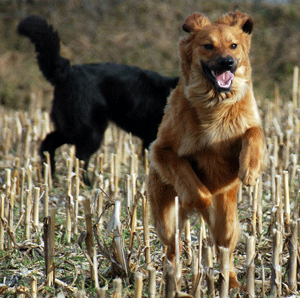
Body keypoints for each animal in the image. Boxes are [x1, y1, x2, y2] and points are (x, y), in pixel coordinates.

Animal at [17, 15, 178, 184]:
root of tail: (67, 73)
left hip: (72, 128)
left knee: (49, 143)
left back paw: (49, 176)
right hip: (91, 131)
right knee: (79, 159)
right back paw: (85, 183)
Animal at [148, 11, 264, 288]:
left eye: (233, 45)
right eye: (208, 46)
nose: (227, 62)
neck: (215, 102)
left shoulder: (242, 130)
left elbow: (253, 133)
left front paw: (250, 170)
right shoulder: (163, 150)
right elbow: (195, 187)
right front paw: (200, 199)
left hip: (229, 224)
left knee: (224, 249)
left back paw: (230, 281)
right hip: (165, 219)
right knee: (172, 248)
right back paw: (173, 277)